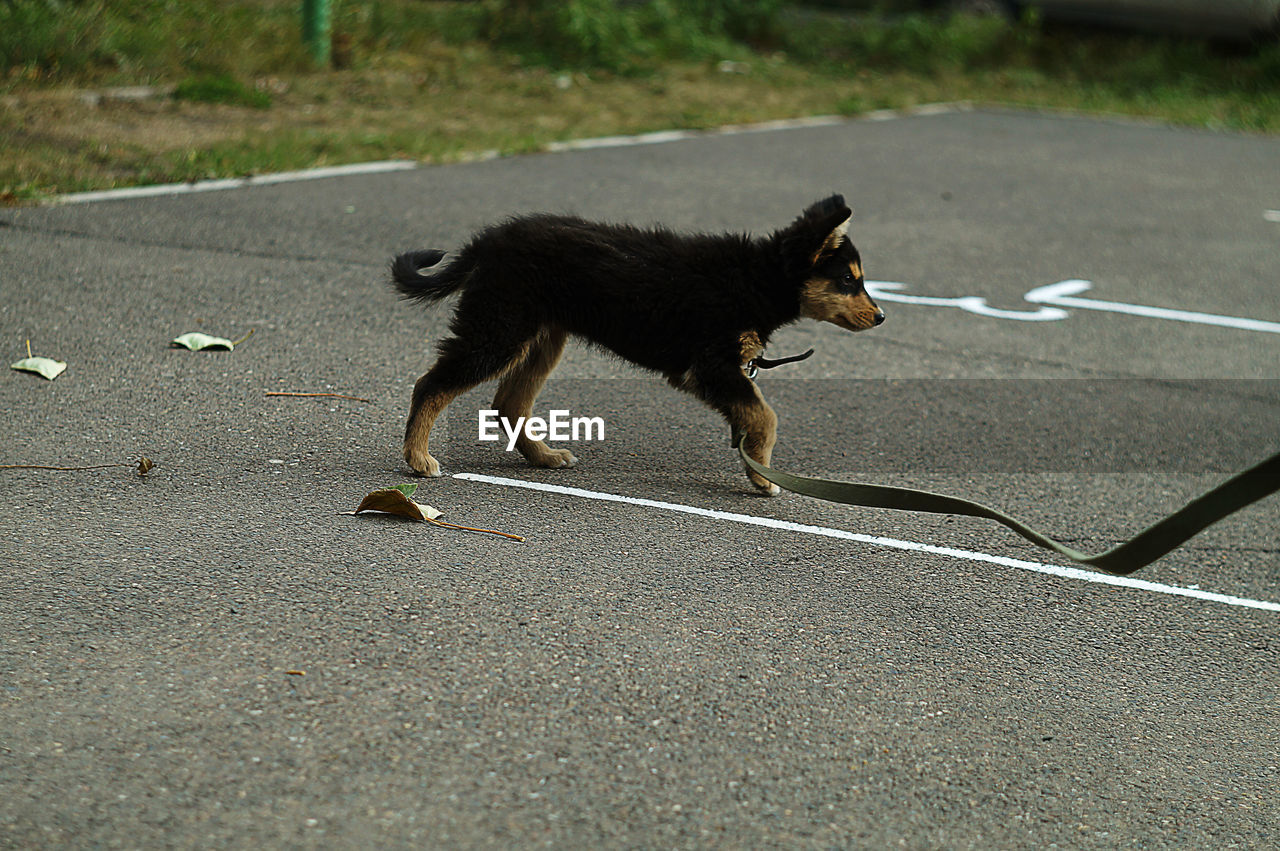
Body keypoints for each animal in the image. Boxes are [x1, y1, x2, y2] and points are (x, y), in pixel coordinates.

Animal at [389, 193, 885, 493]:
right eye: (847, 280)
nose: (881, 316)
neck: (755, 279)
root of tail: (490, 240)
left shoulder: (723, 371)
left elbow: (753, 416)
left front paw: (755, 469)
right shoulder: (711, 365)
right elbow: (765, 415)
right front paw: (763, 479)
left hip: (540, 338)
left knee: (509, 403)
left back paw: (544, 457)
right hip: (500, 329)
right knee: (431, 384)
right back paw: (418, 458)